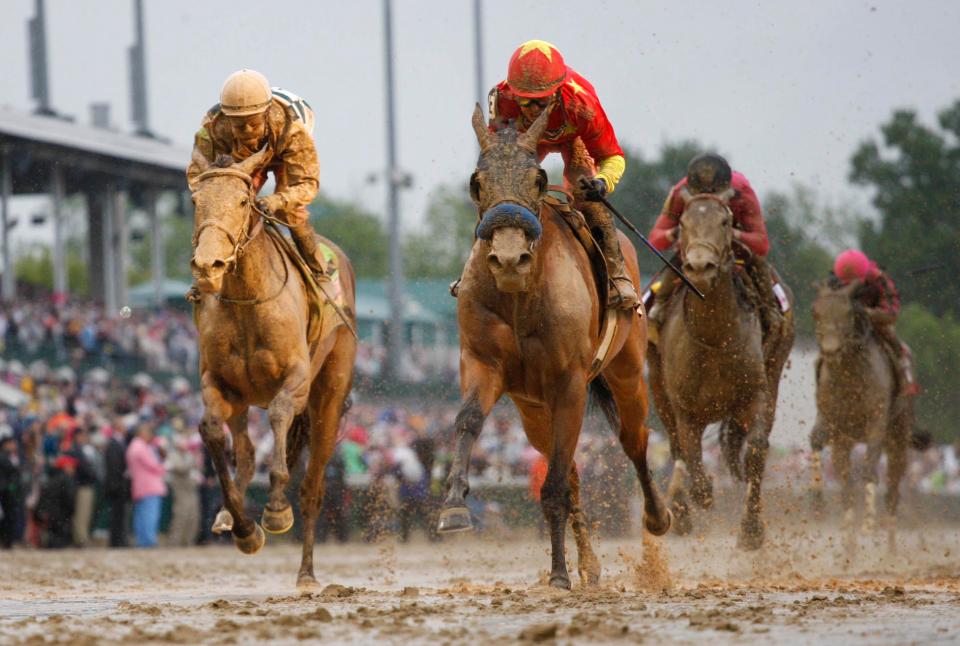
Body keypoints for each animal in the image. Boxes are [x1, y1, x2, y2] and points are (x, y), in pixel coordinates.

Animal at [189, 149, 358, 588]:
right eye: (196, 202)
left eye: (243, 201)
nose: (208, 266)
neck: (248, 302)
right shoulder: (219, 384)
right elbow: (212, 431)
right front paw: (245, 528)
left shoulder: (296, 380)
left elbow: (281, 416)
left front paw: (277, 509)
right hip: (242, 400)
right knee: (246, 453)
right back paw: (229, 516)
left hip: (330, 394)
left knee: (313, 486)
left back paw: (307, 573)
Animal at [438, 106, 672, 592]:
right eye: (477, 181)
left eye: (539, 179)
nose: (509, 260)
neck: (520, 297)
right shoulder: (483, 364)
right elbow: (468, 420)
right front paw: (453, 505)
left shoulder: (570, 384)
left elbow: (556, 488)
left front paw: (559, 573)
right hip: (533, 412)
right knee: (574, 471)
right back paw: (590, 565)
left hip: (626, 373)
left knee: (634, 439)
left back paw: (657, 517)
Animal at [644, 187, 796, 552]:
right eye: (683, 222)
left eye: (725, 222)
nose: (700, 265)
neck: (714, 337)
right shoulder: (686, 409)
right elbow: (690, 456)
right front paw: (699, 498)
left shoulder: (754, 395)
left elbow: (756, 451)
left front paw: (752, 530)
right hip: (658, 386)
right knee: (676, 448)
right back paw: (681, 511)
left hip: (775, 369)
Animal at [808, 280, 916, 544]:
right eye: (815, 312)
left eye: (847, 313)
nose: (830, 350)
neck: (851, 377)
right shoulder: (836, 427)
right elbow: (841, 474)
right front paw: (824, 507)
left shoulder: (876, 422)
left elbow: (868, 470)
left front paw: (868, 522)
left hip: (898, 435)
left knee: (893, 489)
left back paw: (889, 540)